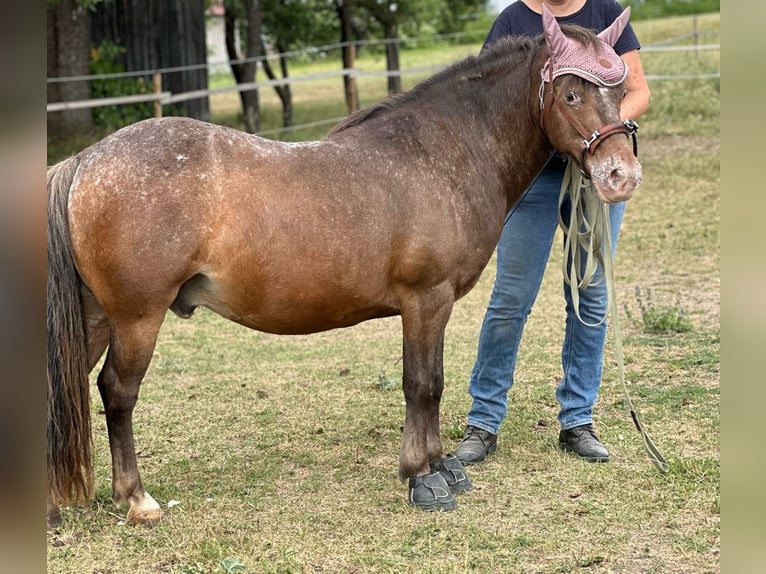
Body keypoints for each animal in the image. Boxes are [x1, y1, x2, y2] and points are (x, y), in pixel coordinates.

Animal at [46, 6, 640, 528]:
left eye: (618, 90)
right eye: (571, 94)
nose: (620, 177)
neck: (443, 152)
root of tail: (85, 161)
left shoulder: (436, 307)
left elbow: (434, 382)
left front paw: (442, 465)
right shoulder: (426, 301)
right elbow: (422, 384)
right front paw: (422, 477)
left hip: (97, 318)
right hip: (137, 318)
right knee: (117, 392)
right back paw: (137, 500)